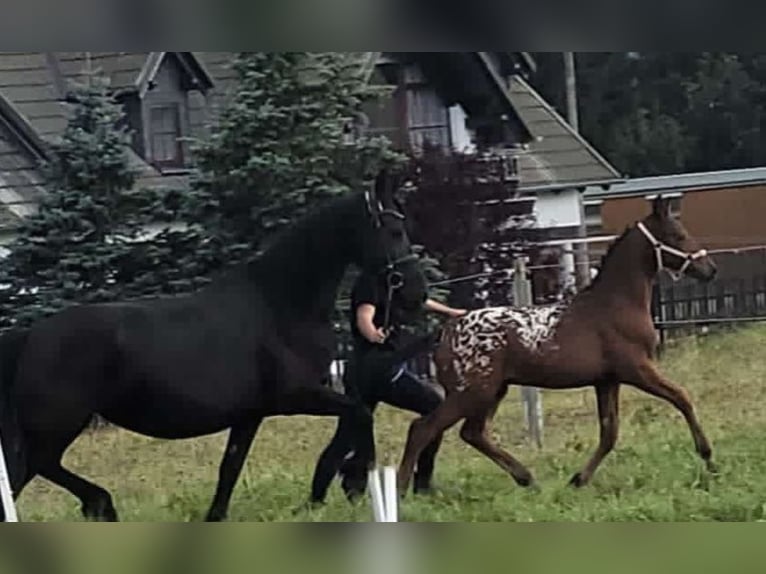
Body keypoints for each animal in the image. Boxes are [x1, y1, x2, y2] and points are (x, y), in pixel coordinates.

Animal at [0, 170, 426, 520]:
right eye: (394, 231)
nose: (417, 294)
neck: (280, 304)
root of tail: (31, 336)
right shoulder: (294, 396)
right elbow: (360, 413)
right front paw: (353, 482)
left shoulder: (250, 414)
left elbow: (230, 469)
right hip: (55, 425)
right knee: (36, 469)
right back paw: (101, 503)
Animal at [402, 198, 720, 496]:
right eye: (678, 235)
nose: (710, 270)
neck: (616, 304)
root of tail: (446, 332)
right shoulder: (637, 369)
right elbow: (681, 397)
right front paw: (708, 458)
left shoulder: (607, 380)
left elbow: (610, 432)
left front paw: (578, 480)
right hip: (471, 392)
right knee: (424, 428)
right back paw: (403, 489)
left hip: (491, 391)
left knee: (472, 433)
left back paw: (526, 478)